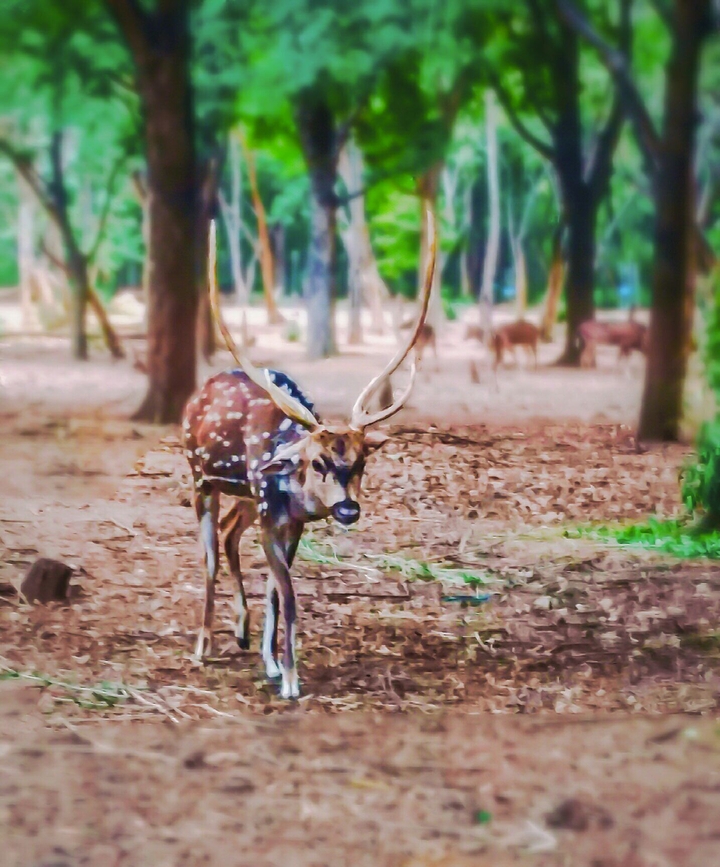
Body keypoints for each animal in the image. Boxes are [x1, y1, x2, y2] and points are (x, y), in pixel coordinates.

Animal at [182, 216, 436, 700]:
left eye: (361, 462)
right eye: (317, 461)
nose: (349, 508)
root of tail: (196, 396)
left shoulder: (292, 521)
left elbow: (276, 593)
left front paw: (275, 665)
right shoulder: (269, 514)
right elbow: (290, 596)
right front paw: (291, 681)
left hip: (245, 496)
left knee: (228, 534)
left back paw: (242, 633)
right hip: (201, 478)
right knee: (208, 553)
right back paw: (203, 646)